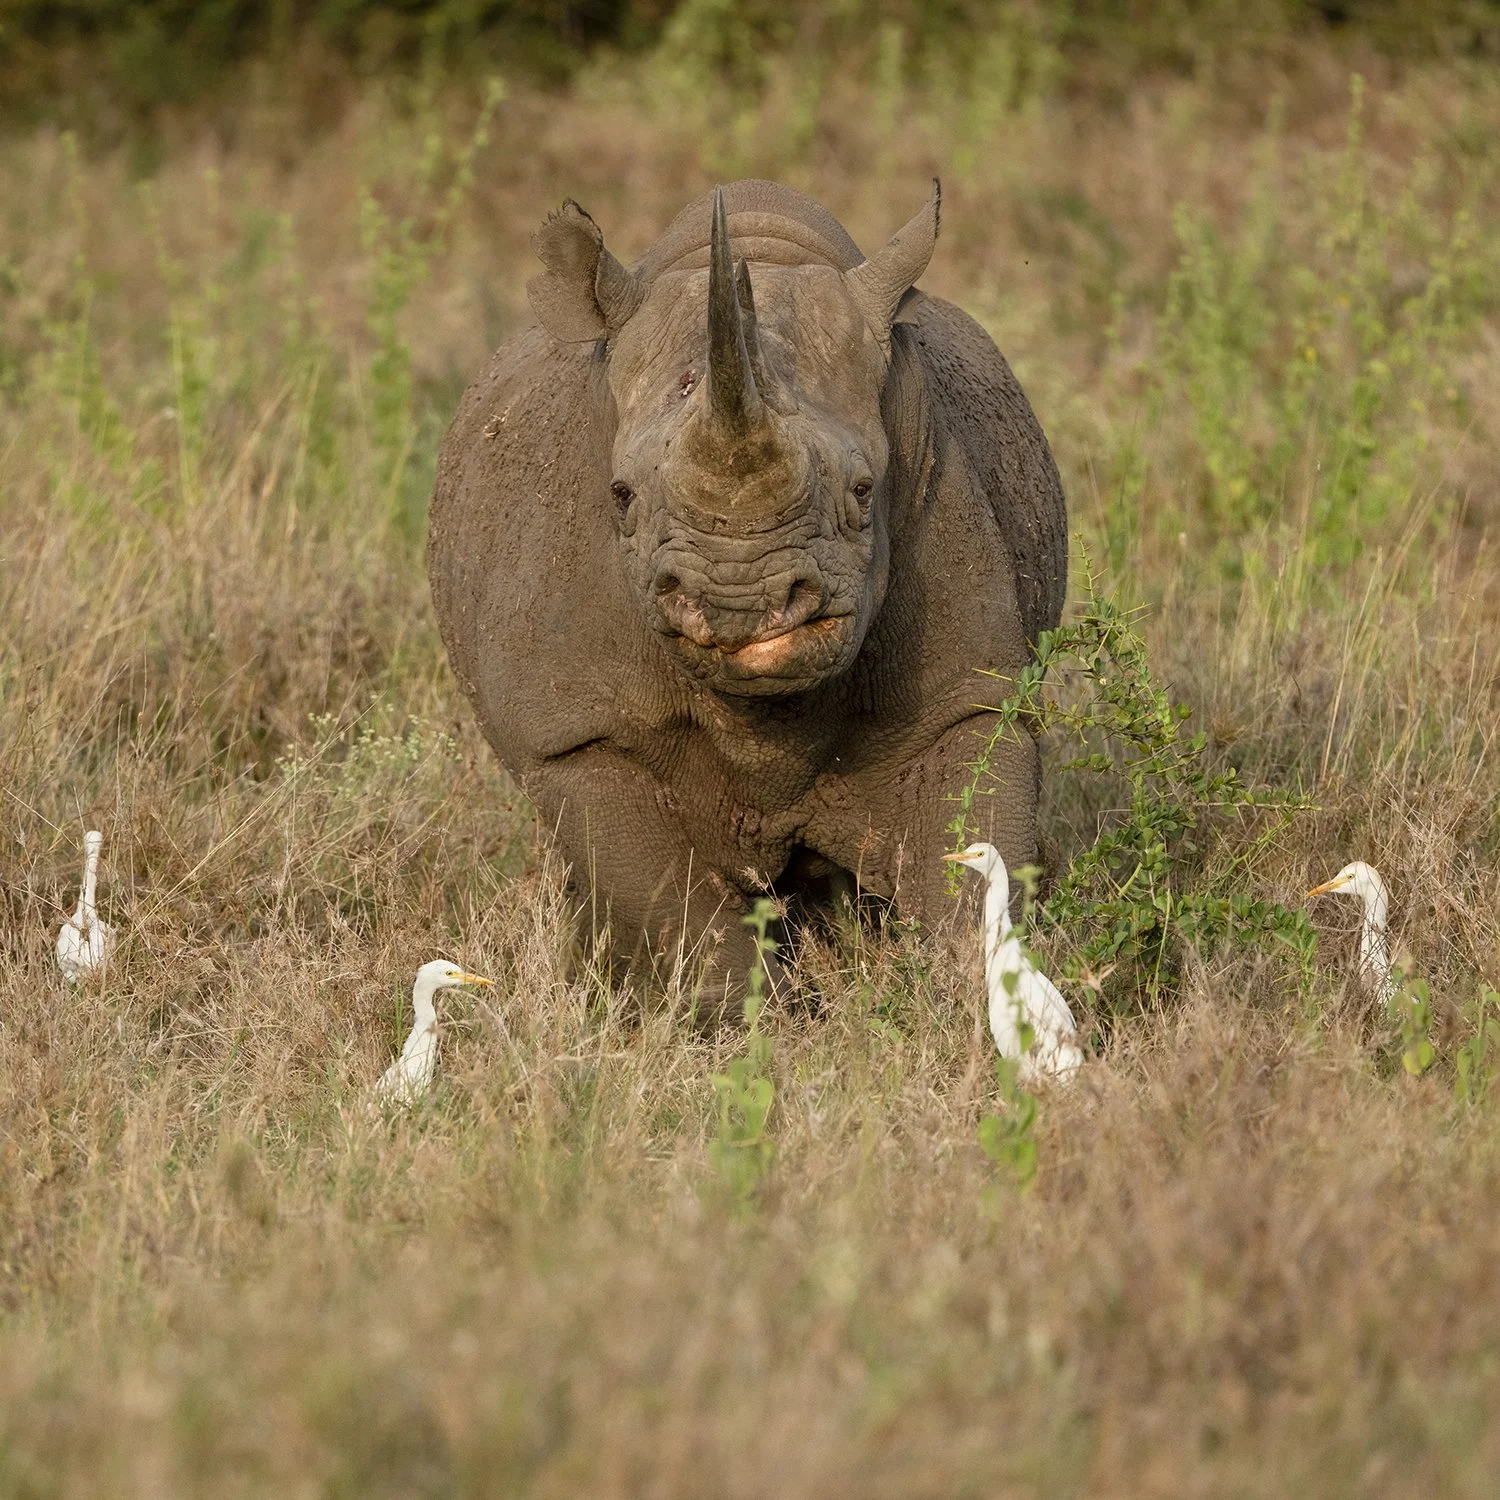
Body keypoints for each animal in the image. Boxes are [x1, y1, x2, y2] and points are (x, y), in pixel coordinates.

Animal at [430, 179, 1066, 1006]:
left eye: (864, 491)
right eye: (621, 497)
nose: (739, 601)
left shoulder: (968, 693)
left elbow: (971, 859)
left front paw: (979, 1008)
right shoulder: (579, 738)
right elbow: (673, 910)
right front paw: (757, 1024)